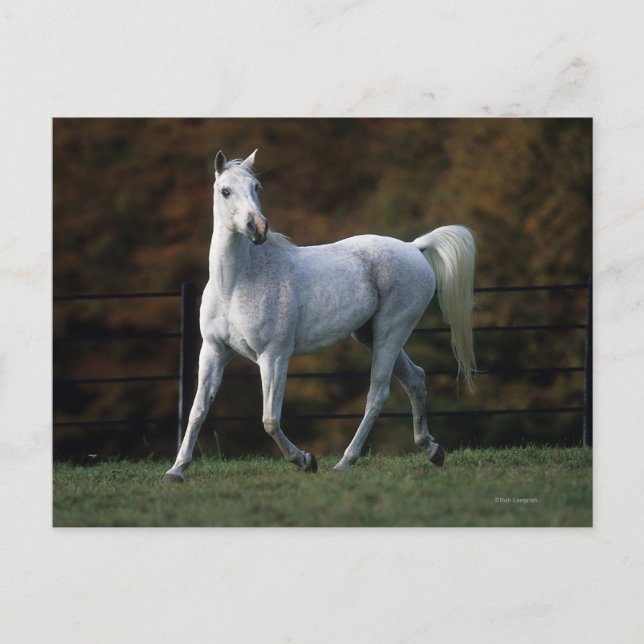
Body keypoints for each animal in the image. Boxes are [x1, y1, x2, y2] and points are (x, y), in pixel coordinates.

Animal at [163, 149, 476, 482]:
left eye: (257, 187)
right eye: (225, 191)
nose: (257, 228)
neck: (235, 284)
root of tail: (413, 247)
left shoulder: (274, 357)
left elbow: (270, 419)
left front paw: (305, 460)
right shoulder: (213, 351)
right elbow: (197, 411)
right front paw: (176, 470)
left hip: (391, 332)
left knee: (377, 393)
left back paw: (346, 461)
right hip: (369, 335)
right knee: (415, 378)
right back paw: (432, 450)